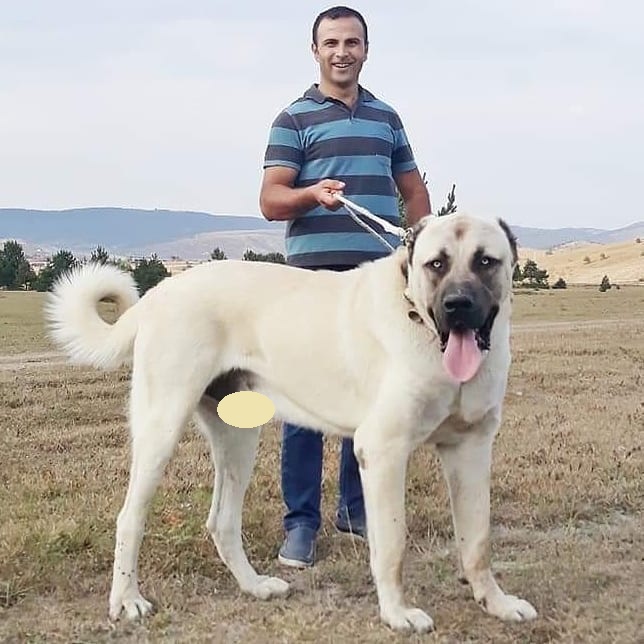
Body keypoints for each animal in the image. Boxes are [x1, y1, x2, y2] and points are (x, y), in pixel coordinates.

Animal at [46, 214, 540, 632]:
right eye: (436, 263)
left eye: (486, 261)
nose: (457, 305)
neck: (420, 321)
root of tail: (160, 292)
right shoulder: (383, 450)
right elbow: (393, 545)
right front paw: (397, 613)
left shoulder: (471, 448)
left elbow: (477, 541)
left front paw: (495, 603)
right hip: (161, 427)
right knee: (130, 517)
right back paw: (127, 600)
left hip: (239, 438)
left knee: (222, 521)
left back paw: (254, 586)